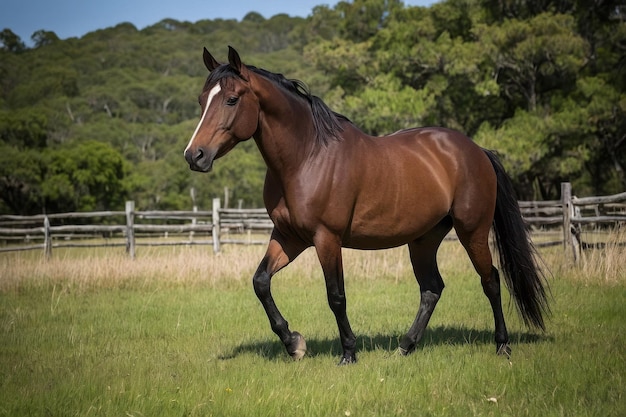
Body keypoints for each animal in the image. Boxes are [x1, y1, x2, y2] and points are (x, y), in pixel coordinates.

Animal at [182, 46, 544, 364]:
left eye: (231, 99)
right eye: (201, 100)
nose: (194, 156)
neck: (307, 157)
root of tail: (477, 150)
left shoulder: (326, 239)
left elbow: (336, 295)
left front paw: (348, 353)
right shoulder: (289, 237)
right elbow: (260, 282)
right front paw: (294, 343)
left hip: (473, 231)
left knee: (491, 281)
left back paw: (502, 346)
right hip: (423, 239)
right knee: (432, 289)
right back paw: (405, 347)